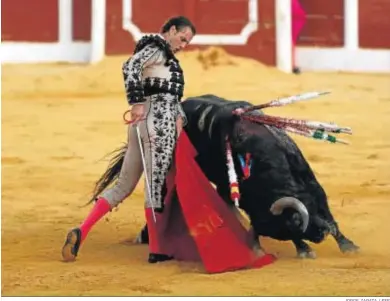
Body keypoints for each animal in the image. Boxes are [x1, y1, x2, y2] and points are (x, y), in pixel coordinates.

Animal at [92, 94, 360, 258]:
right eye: (281, 228)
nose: (319, 235)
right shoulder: (229, 187)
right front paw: (302, 249)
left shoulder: (314, 188)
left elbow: (332, 220)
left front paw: (348, 246)